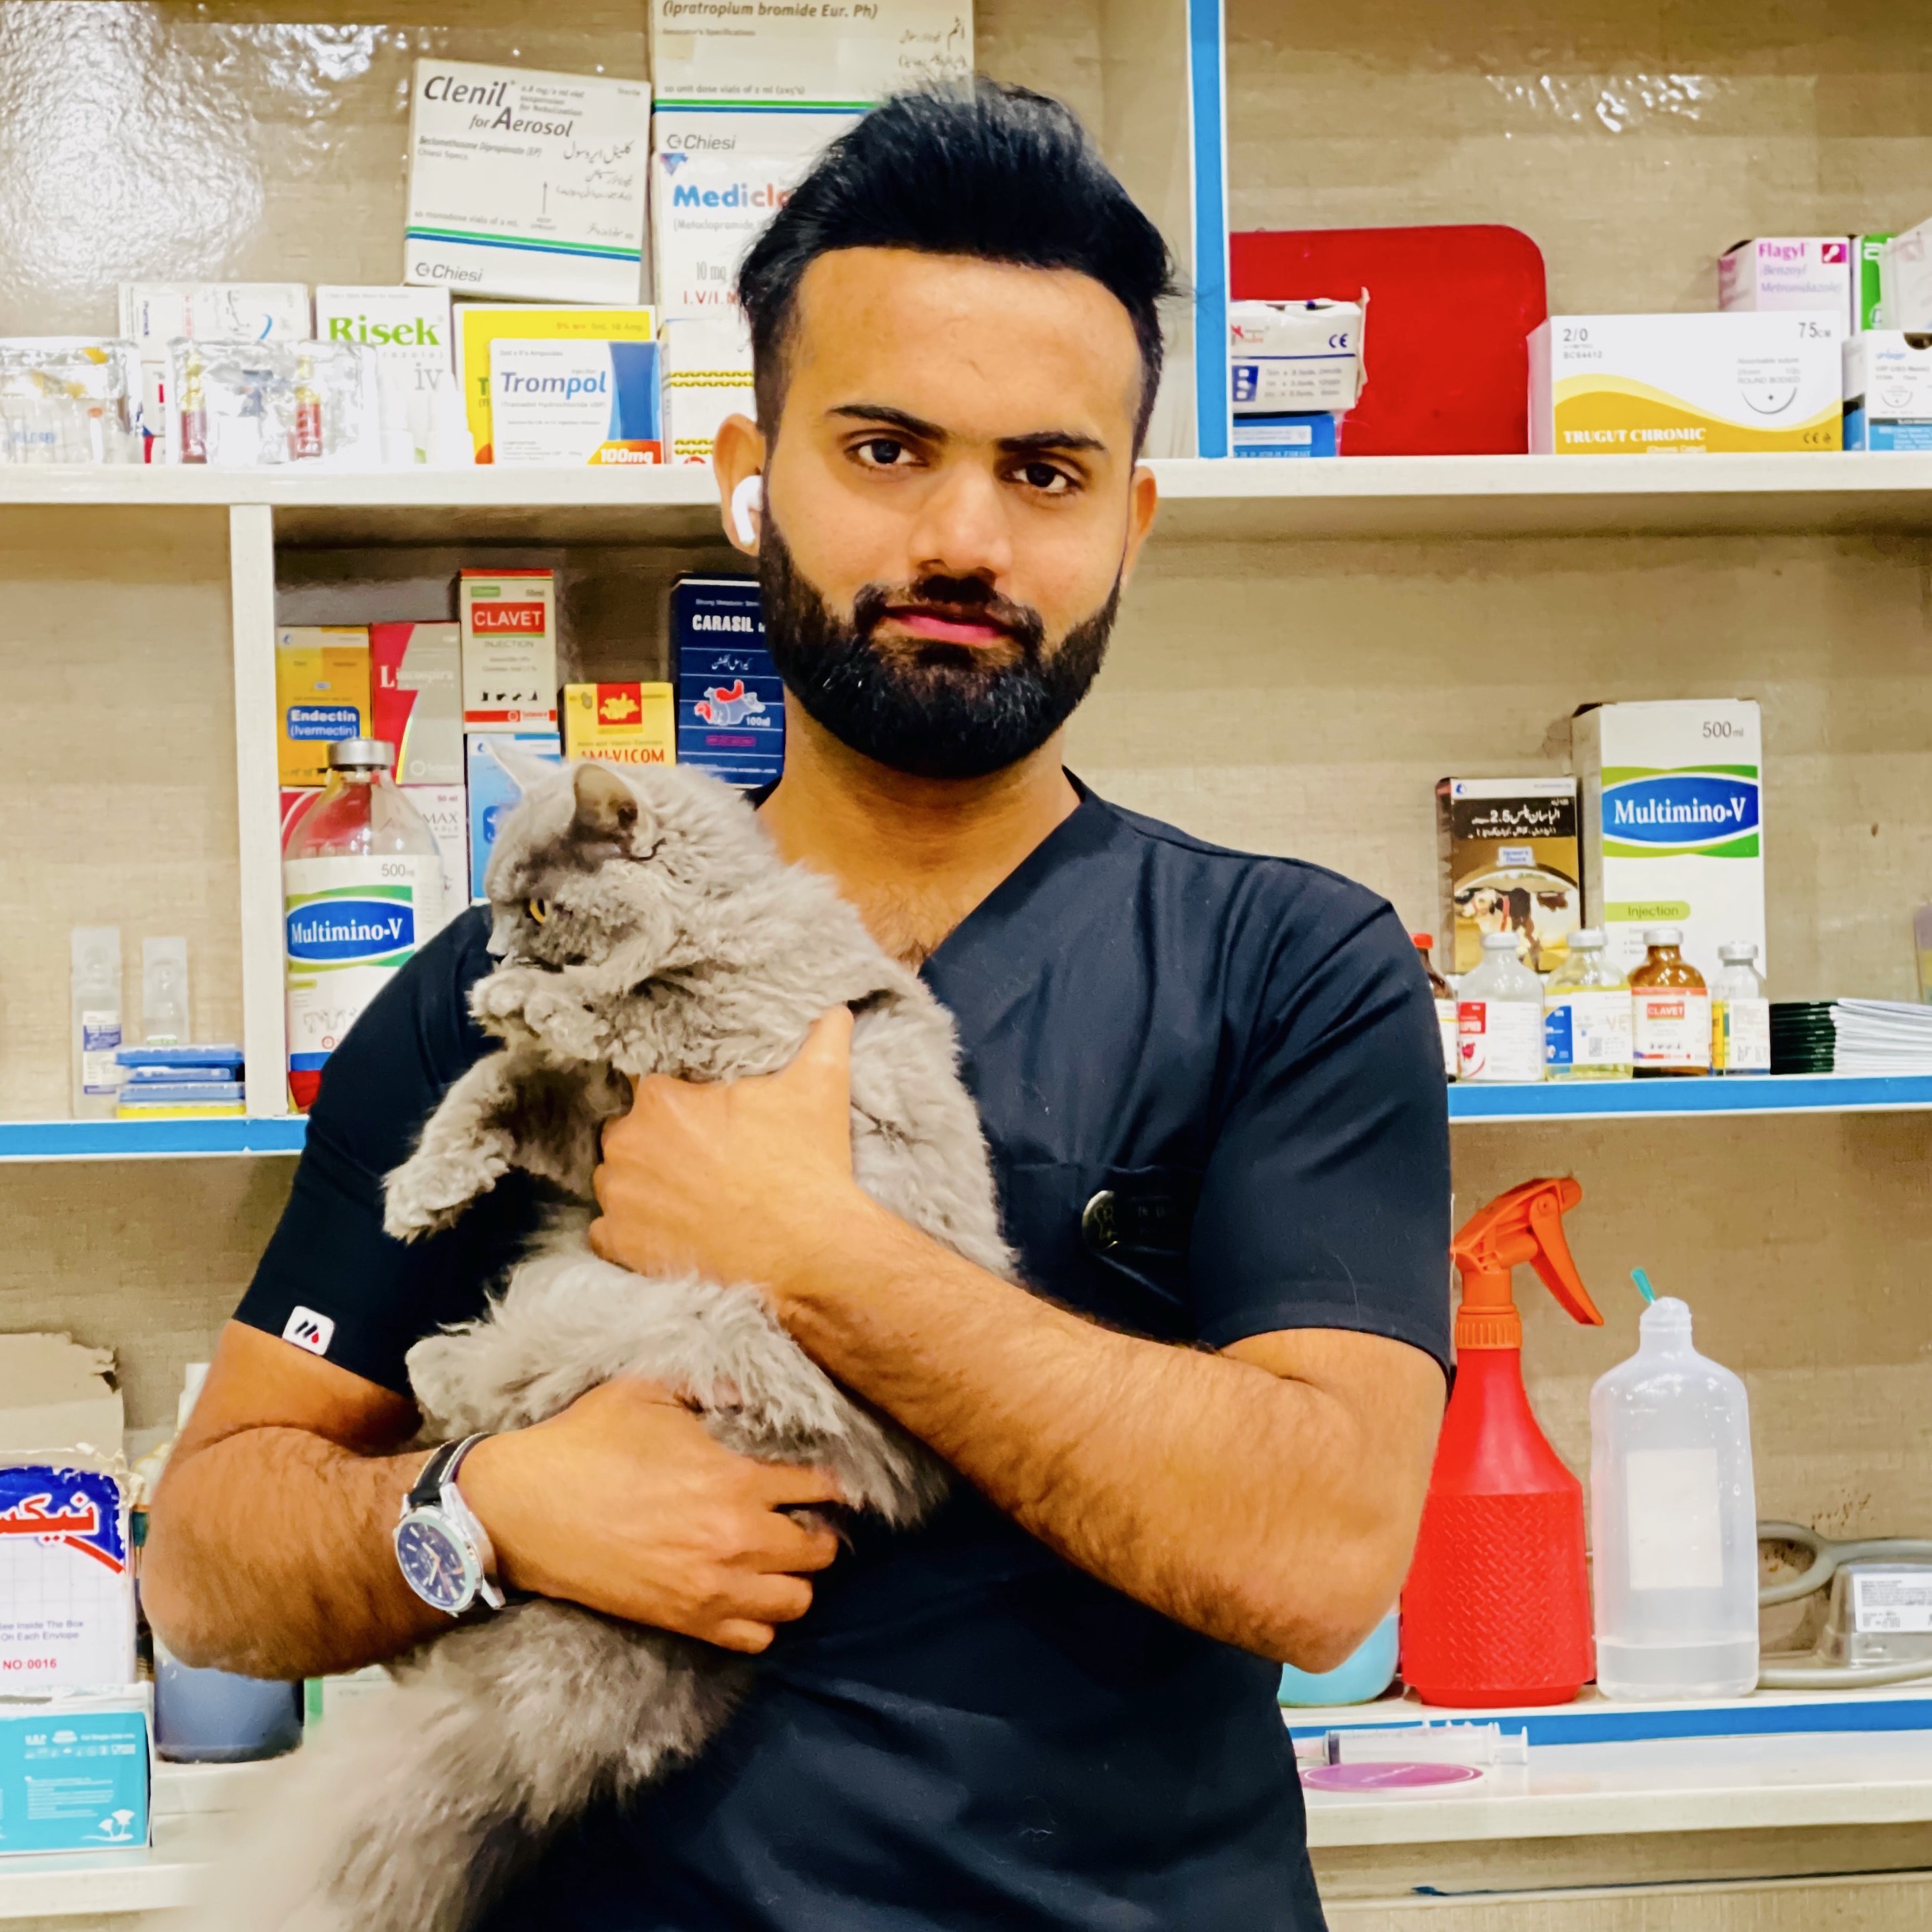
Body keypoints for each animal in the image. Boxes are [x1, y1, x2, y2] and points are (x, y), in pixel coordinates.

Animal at [209, 757, 1015, 1932]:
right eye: (498, 906)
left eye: (540, 909)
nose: (492, 955)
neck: (719, 915)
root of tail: (862, 1474)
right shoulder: (587, 1130)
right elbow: (487, 1089)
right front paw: (421, 1190)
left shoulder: (711, 1035)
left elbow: (616, 1009)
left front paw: (520, 1004)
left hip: (671, 1318)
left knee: (517, 1381)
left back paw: (436, 1370)